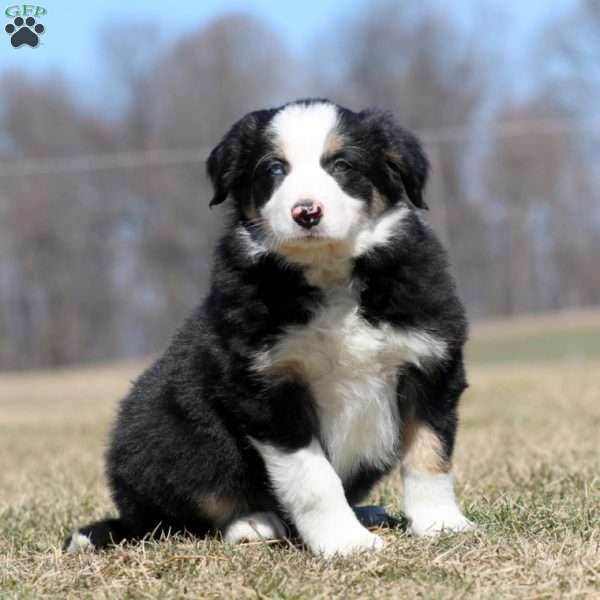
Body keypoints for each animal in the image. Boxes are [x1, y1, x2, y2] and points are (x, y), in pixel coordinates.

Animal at [65, 98, 474, 556]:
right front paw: (344, 543)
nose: (306, 211)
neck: (329, 274)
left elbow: (429, 454)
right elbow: (314, 478)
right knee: (185, 512)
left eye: (342, 165)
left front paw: (440, 524)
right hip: (169, 433)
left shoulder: (430, 365)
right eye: (274, 169)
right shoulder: (267, 388)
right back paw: (252, 523)